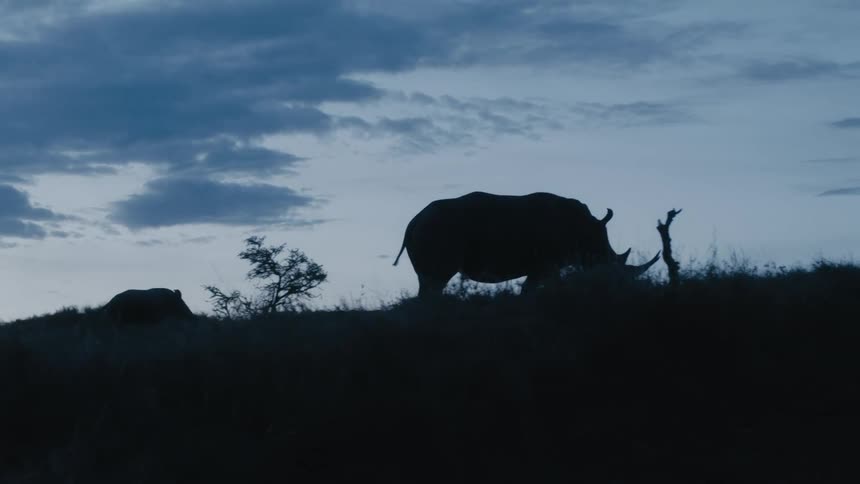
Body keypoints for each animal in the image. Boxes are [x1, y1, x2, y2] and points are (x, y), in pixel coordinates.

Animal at [393, 191, 660, 296]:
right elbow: (536, 287)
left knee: (429, 282)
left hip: (429, 230)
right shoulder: (546, 263)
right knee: (436, 280)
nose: (626, 289)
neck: (588, 232)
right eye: (612, 267)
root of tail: (413, 222)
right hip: (437, 231)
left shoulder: (545, 265)